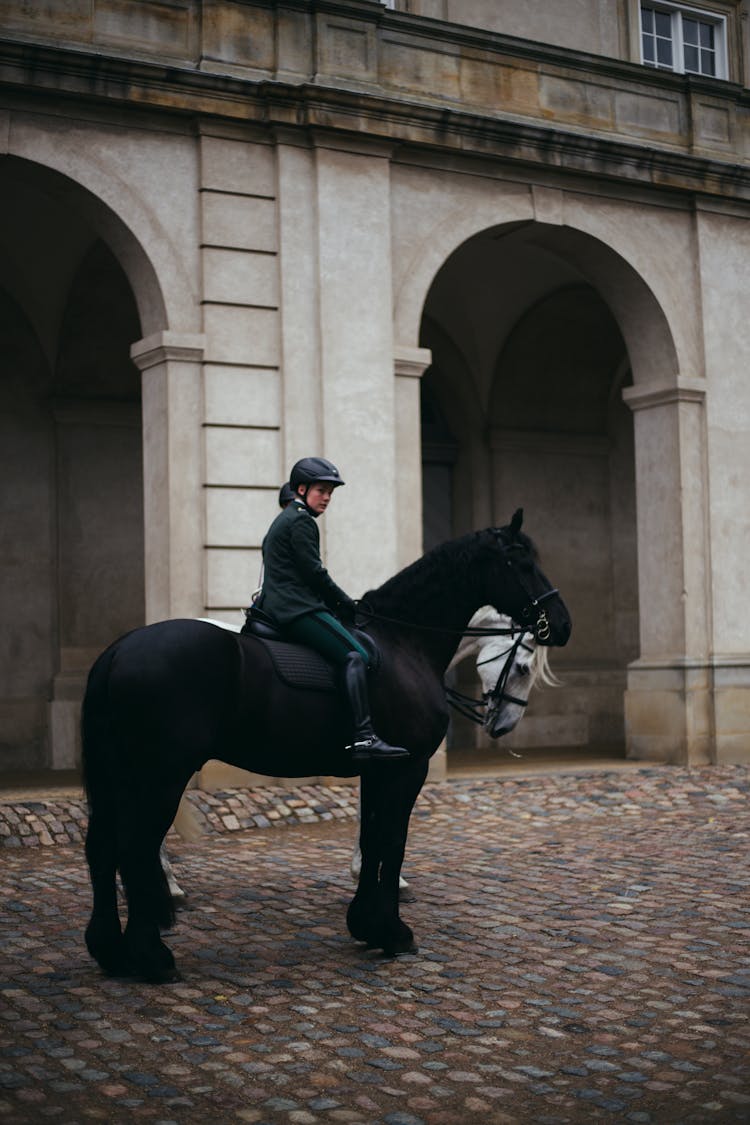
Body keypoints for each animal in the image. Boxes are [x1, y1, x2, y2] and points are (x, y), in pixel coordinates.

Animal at [82, 508, 571, 976]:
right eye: (522, 563)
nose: (563, 625)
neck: (404, 642)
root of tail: (119, 650)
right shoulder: (408, 767)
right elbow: (393, 841)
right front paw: (393, 931)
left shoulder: (379, 768)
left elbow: (372, 838)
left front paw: (367, 923)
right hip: (161, 774)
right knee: (135, 847)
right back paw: (152, 953)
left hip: (124, 773)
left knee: (105, 848)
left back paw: (112, 949)